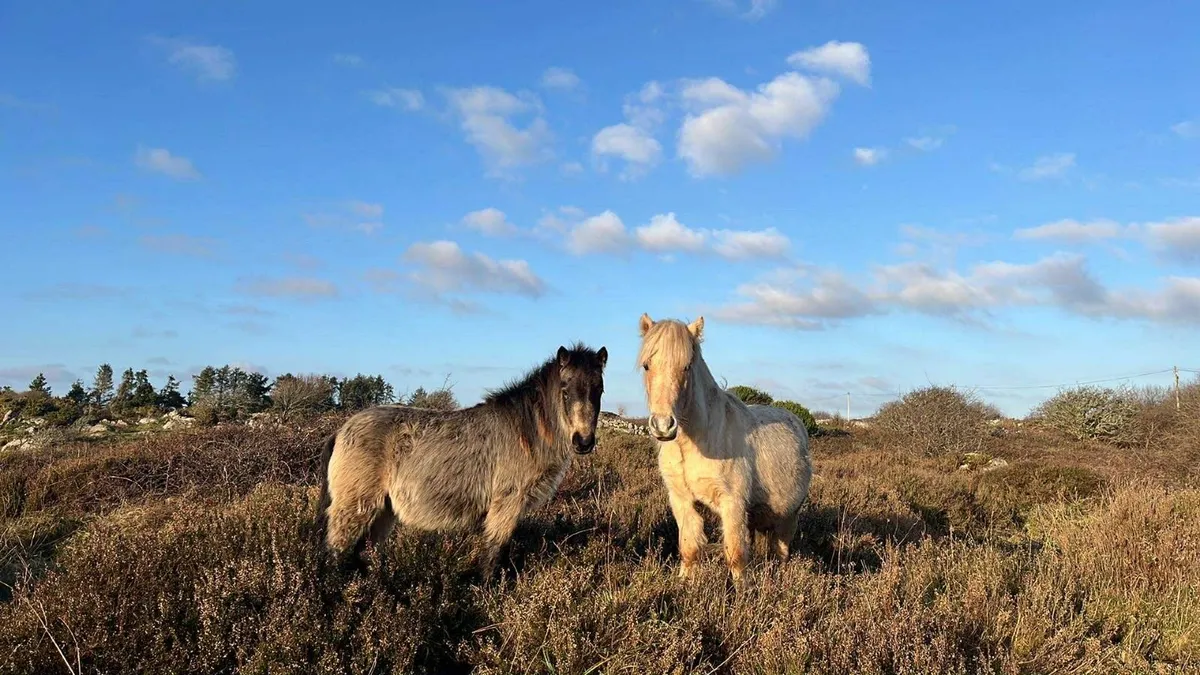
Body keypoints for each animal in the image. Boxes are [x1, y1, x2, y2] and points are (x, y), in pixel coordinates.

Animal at [314, 342, 608, 576]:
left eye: (599, 390)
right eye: (565, 391)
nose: (583, 441)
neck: (525, 430)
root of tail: (341, 431)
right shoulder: (507, 503)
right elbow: (495, 552)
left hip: (382, 511)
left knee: (363, 552)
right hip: (355, 507)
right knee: (337, 550)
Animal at [636, 314, 812, 581]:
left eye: (687, 366)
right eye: (647, 365)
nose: (663, 426)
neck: (696, 443)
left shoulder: (733, 503)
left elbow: (736, 556)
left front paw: (743, 591)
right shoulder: (681, 500)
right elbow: (689, 548)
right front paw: (684, 584)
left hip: (788, 514)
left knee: (780, 550)